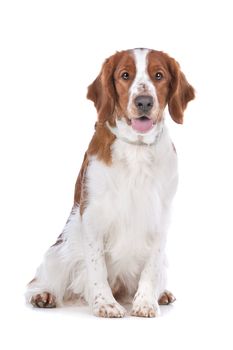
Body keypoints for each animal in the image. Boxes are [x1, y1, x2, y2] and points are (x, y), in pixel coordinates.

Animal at [26, 47, 195, 318]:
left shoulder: (160, 217)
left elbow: (151, 266)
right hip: (62, 246)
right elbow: (97, 267)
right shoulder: (92, 216)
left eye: (159, 75)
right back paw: (43, 295)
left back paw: (161, 294)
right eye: (125, 75)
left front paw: (146, 302)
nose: (144, 101)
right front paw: (105, 303)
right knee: (42, 279)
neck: (136, 149)